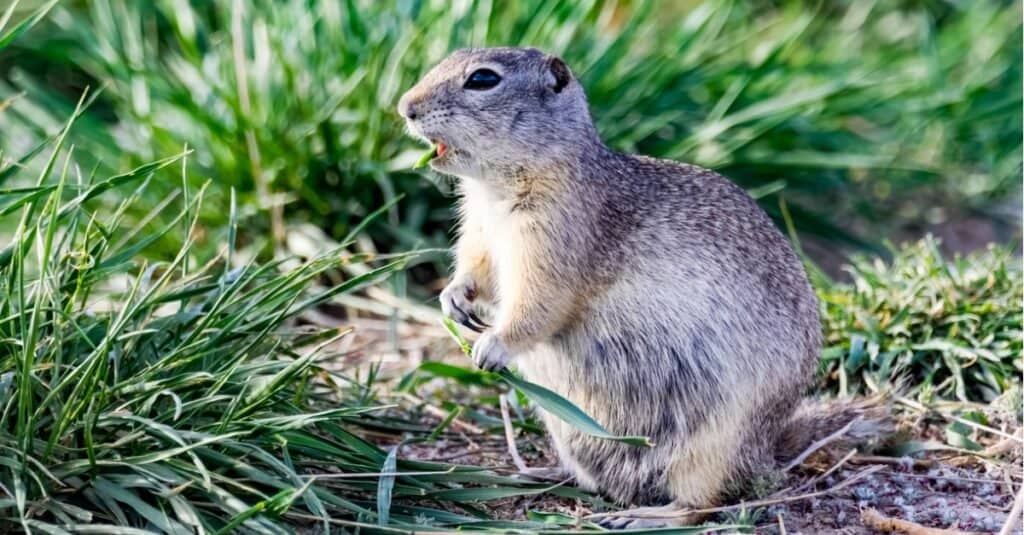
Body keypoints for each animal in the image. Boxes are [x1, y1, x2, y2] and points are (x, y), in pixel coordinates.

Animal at [399, 45, 888, 524]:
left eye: (483, 79)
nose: (405, 107)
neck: (496, 191)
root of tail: (766, 452)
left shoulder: (552, 248)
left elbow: (537, 308)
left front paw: (491, 346)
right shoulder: (479, 235)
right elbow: (476, 273)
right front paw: (452, 300)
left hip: (712, 448)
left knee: (704, 505)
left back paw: (645, 516)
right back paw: (541, 474)